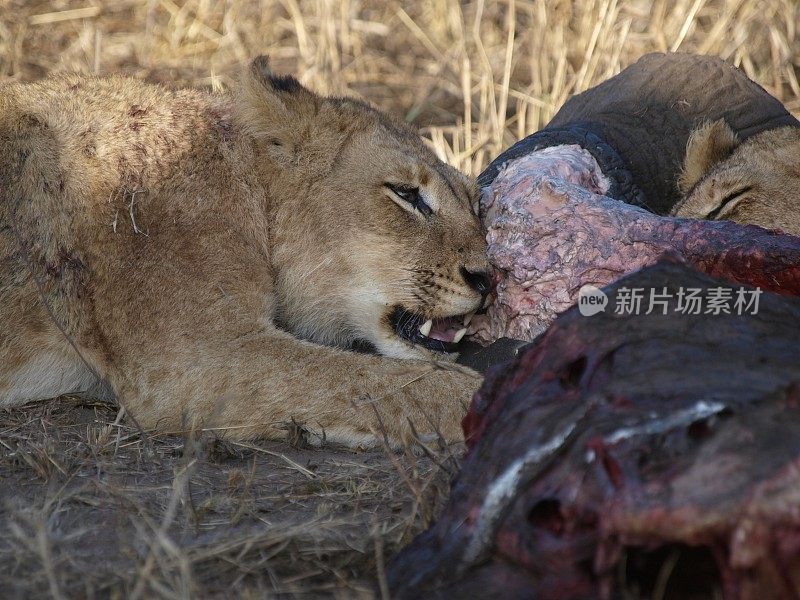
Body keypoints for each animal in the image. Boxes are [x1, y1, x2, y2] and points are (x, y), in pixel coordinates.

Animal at [0, 57, 494, 450]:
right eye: (406, 194)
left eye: (475, 204)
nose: (488, 279)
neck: (251, 190)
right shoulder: (201, 357)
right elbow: (384, 381)